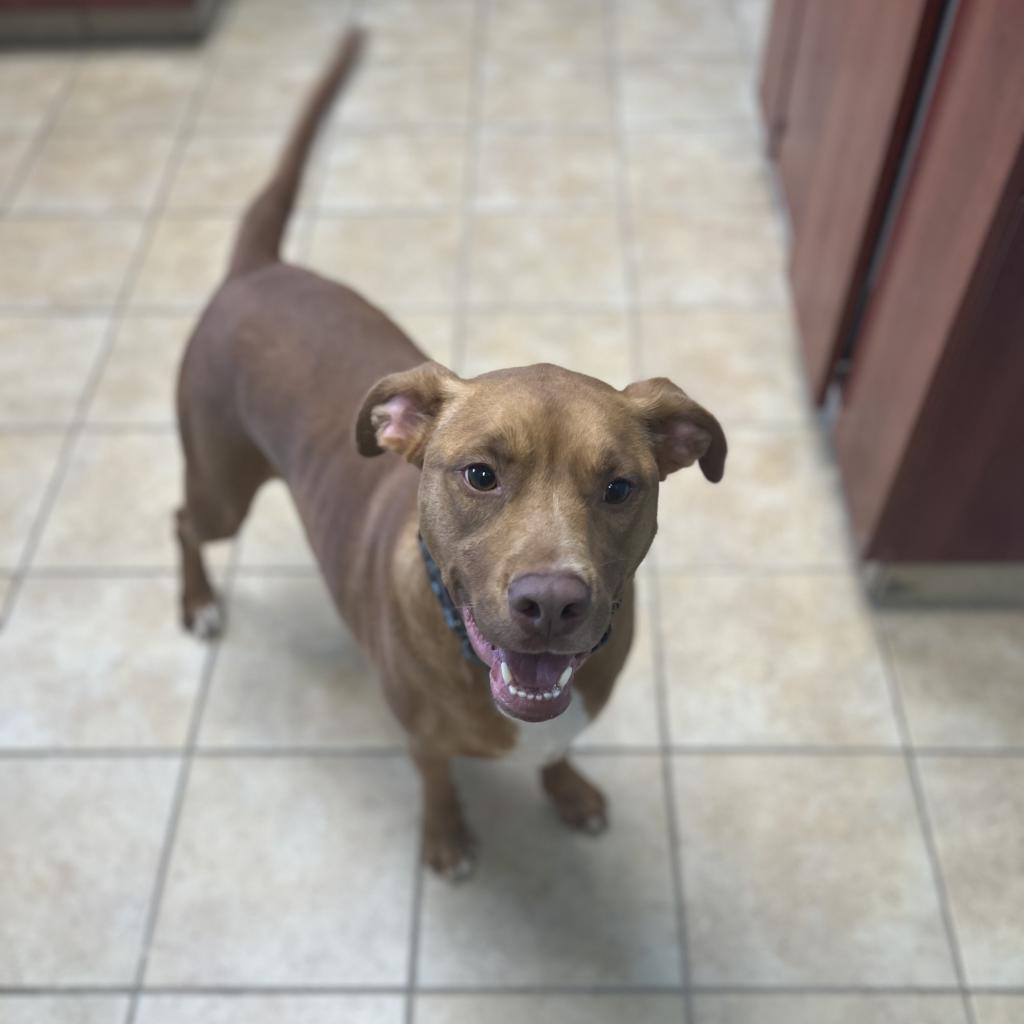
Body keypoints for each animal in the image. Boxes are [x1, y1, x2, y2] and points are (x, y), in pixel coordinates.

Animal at [176, 32, 724, 880]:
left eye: (620, 487)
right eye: (480, 475)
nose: (552, 603)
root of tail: (258, 268)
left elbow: (555, 752)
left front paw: (568, 791)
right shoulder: (422, 738)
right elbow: (435, 780)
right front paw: (445, 837)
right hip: (221, 487)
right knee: (182, 519)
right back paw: (198, 601)